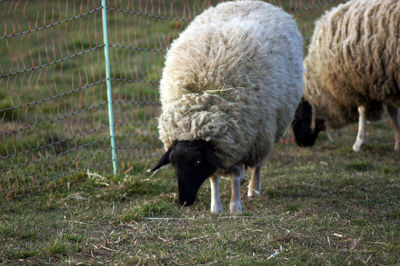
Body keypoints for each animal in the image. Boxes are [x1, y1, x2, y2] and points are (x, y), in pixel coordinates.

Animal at [150, 0, 304, 213]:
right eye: (172, 163)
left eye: (197, 162)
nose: (184, 201)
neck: (201, 103)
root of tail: (256, 2)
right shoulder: (224, 144)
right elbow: (214, 176)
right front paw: (216, 206)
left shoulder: (241, 137)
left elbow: (236, 175)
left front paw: (235, 205)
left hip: (264, 131)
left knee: (258, 164)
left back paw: (253, 189)